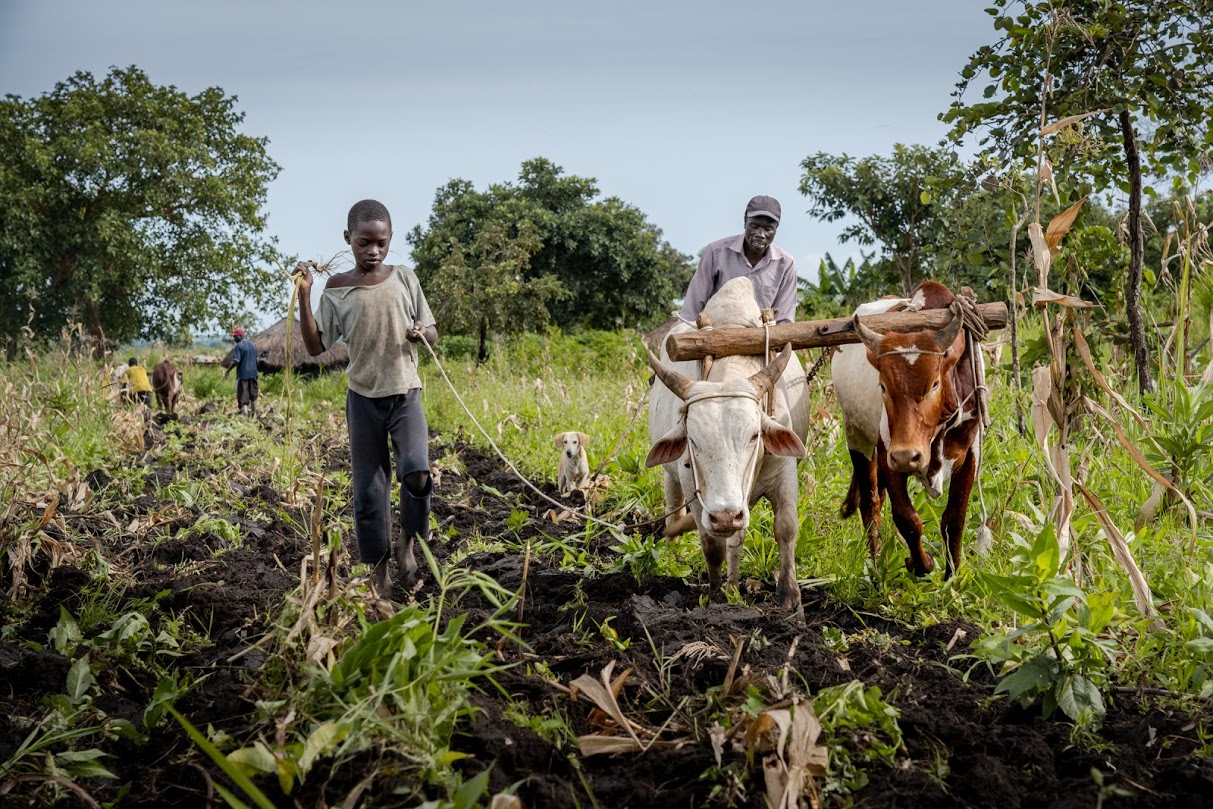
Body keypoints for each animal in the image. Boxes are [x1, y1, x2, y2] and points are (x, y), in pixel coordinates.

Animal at [650, 276, 810, 613]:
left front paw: (789, 598)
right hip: (673, 479)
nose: (725, 515)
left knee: (737, 538)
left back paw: (735, 584)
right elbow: (711, 546)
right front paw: (715, 597)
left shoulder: (784, 473)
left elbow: (786, 528)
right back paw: (671, 556)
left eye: (754, 435)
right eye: (693, 439)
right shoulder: (696, 490)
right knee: (672, 510)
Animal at [834, 281, 984, 579]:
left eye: (934, 383)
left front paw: (951, 579)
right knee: (871, 504)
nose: (908, 455)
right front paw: (921, 563)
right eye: (883, 386)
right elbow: (907, 518)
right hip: (857, 436)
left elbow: (954, 520)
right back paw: (876, 567)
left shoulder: (971, 453)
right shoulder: (888, 454)